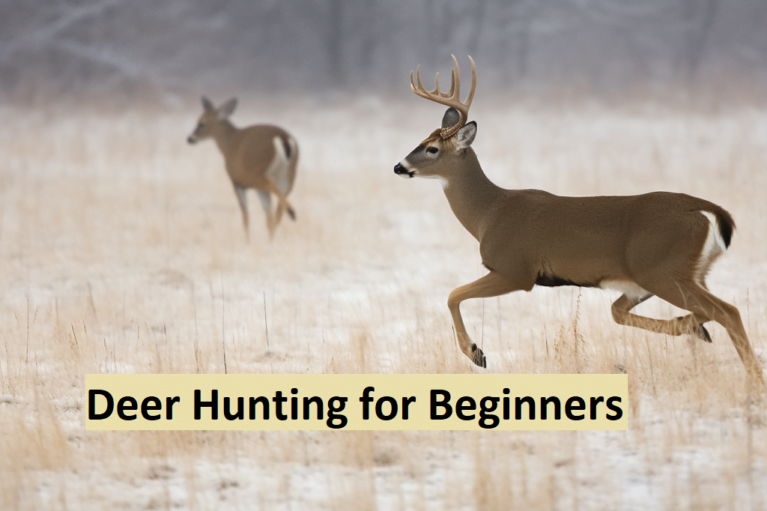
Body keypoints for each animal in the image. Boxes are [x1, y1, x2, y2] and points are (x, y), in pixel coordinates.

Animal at [187, 97, 298, 240]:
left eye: (201, 123)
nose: (190, 139)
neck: (228, 143)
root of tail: (282, 138)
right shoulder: (258, 189)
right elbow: (267, 217)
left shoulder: (237, 182)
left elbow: (245, 217)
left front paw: (247, 241)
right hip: (288, 176)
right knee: (277, 212)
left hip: (257, 172)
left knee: (271, 185)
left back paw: (292, 212)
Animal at [393, 55, 764, 387]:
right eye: (421, 141)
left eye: (432, 149)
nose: (399, 166)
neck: (489, 213)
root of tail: (706, 210)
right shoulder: (626, 286)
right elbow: (617, 312)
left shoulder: (516, 269)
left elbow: (452, 294)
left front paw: (477, 353)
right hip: (679, 273)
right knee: (681, 311)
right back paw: (699, 331)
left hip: (663, 270)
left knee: (728, 311)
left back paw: (753, 380)